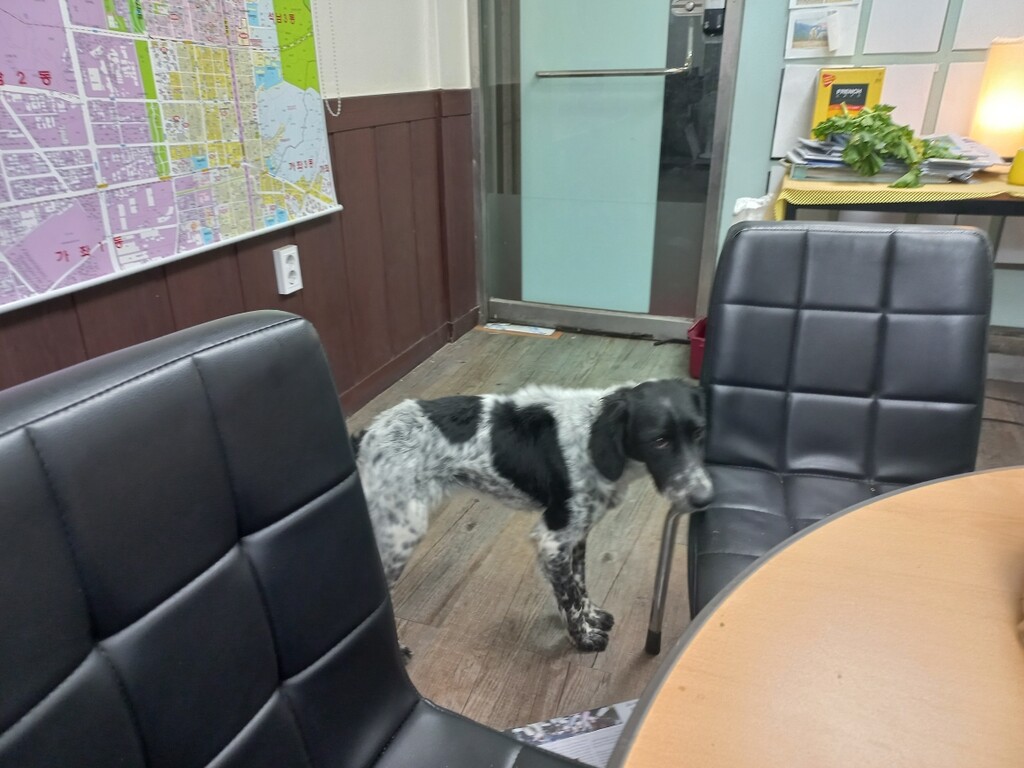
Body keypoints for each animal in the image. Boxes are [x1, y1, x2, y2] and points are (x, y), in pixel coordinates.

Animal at [352, 379, 713, 652]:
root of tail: (364, 436)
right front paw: (583, 638)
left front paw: (592, 617)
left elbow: (579, 585)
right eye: (659, 441)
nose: (705, 498)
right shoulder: (552, 539)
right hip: (401, 533)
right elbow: (569, 597)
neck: (592, 439)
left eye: (699, 433)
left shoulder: (575, 535)